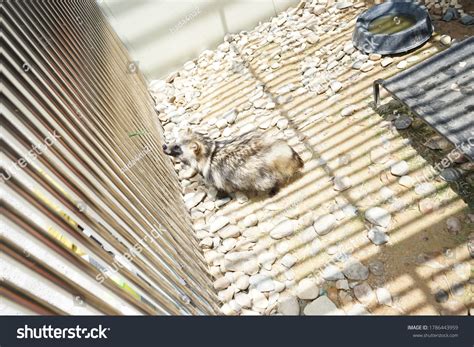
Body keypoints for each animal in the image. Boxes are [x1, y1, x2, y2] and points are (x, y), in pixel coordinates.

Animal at [163, 129, 304, 197]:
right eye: (174, 142)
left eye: (177, 148)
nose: (164, 146)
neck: (209, 151)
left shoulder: (213, 173)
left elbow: (219, 184)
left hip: (258, 172)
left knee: (266, 181)